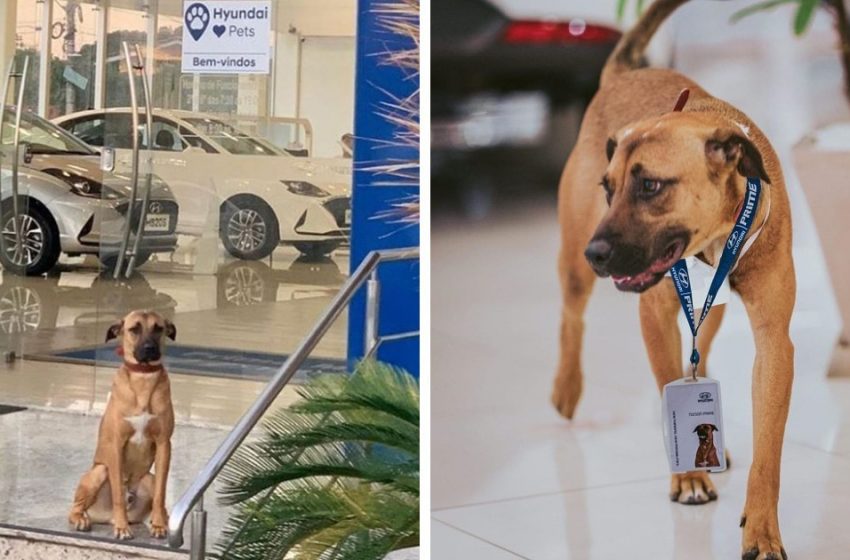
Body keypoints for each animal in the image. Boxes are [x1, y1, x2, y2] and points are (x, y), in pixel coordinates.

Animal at [68, 310, 176, 540]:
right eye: (134, 329)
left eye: (158, 328)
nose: (149, 349)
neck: (143, 377)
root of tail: (104, 517)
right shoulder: (116, 444)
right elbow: (118, 491)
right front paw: (122, 527)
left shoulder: (164, 444)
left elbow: (161, 494)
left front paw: (159, 525)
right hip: (98, 472)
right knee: (75, 508)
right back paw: (83, 520)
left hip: (149, 478)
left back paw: (156, 520)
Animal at [548, 2, 796, 556]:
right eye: (610, 188)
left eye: (650, 186)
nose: (597, 253)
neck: (716, 239)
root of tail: (623, 74)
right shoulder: (655, 315)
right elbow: (667, 383)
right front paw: (687, 479)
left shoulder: (774, 342)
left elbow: (769, 453)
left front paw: (762, 529)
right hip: (574, 266)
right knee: (572, 316)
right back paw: (567, 388)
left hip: (713, 312)